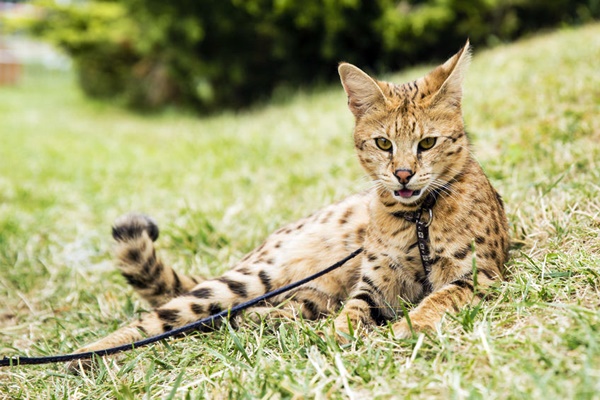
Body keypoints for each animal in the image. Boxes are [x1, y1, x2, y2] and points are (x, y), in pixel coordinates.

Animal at [68, 40, 508, 368]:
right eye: (384, 143)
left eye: (427, 143)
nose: (402, 174)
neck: (417, 217)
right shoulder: (374, 285)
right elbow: (355, 311)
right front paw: (342, 336)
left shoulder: (479, 274)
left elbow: (438, 298)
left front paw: (407, 327)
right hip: (252, 277)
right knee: (161, 319)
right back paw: (84, 356)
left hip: (308, 291)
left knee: (258, 312)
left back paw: (266, 319)